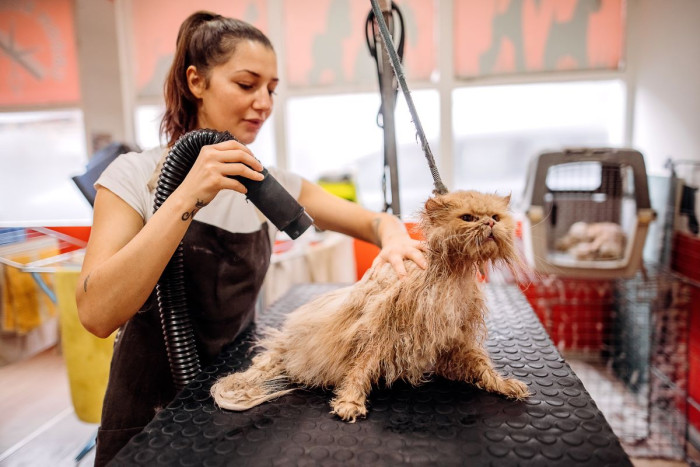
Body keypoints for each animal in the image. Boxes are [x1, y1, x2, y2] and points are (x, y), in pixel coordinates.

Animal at [211, 191, 528, 424]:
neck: (451, 275)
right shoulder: (382, 331)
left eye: (495, 217)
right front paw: (350, 401)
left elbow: (481, 364)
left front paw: (501, 383)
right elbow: (360, 368)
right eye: (468, 218)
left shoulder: (456, 338)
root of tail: (284, 344)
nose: (489, 224)